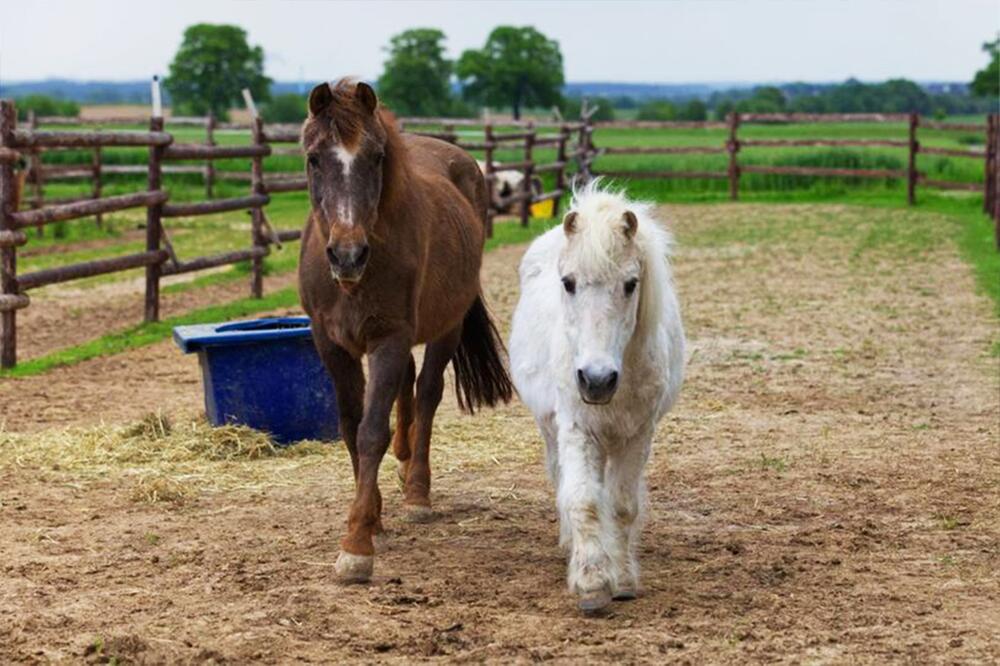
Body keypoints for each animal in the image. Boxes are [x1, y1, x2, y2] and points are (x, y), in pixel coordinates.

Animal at [296, 79, 512, 580]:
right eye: (314, 157)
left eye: (377, 157)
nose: (348, 255)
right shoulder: (331, 345)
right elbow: (350, 425)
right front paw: (372, 516)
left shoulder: (388, 339)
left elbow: (371, 430)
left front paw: (357, 543)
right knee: (409, 387)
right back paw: (403, 460)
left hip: (447, 326)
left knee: (428, 391)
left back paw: (417, 490)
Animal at [512, 182, 684, 612]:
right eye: (568, 282)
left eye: (631, 284)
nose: (596, 379)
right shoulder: (577, 428)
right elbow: (583, 499)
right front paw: (590, 581)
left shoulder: (637, 434)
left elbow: (621, 506)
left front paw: (620, 579)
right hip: (552, 429)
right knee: (561, 480)